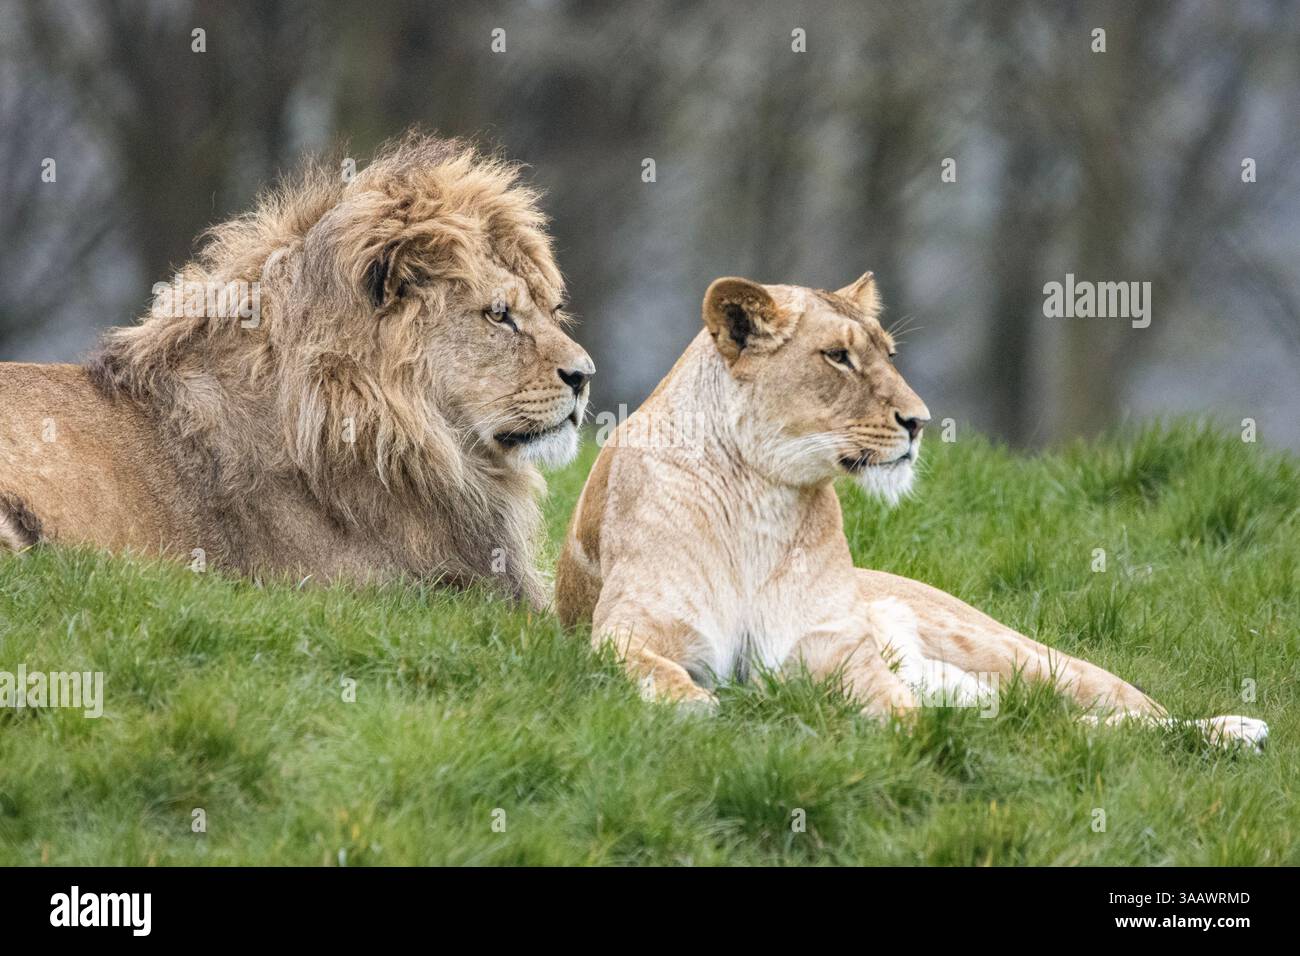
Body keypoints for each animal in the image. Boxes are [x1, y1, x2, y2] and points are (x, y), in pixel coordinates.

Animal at [556, 272, 1268, 750]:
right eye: (838, 356)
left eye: (887, 355)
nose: (920, 421)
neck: (760, 494)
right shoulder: (625, 628)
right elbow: (644, 666)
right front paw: (693, 706)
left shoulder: (834, 651)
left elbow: (895, 705)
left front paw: (919, 730)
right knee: (1061, 726)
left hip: (1016, 652)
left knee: (1135, 712)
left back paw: (1234, 729)